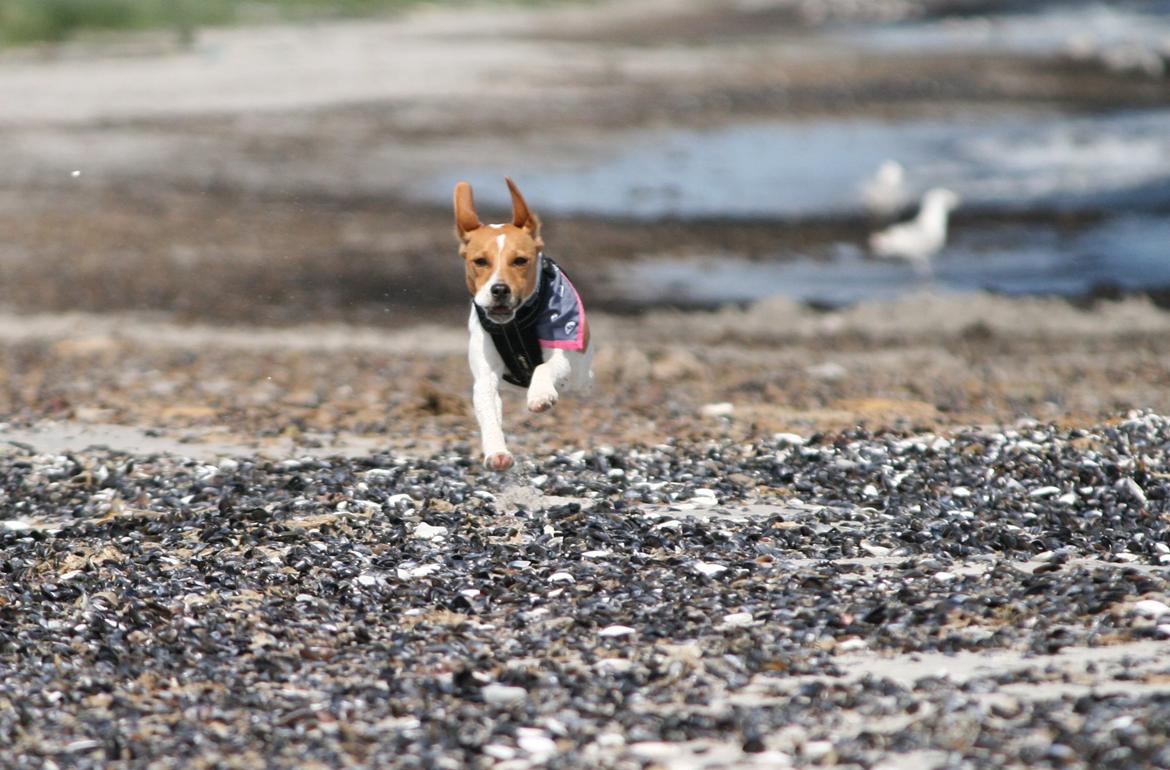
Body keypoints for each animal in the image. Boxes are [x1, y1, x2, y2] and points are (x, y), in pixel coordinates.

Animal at [451, 177, 589, 470]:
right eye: (480, 261)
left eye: (520, 260)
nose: (499, 289)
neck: (513, 325)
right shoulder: (485, 375)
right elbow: (486, 405)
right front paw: (496, 451)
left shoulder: (561, 352)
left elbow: (545, 367)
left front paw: (540, 396)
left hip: (581, 376)